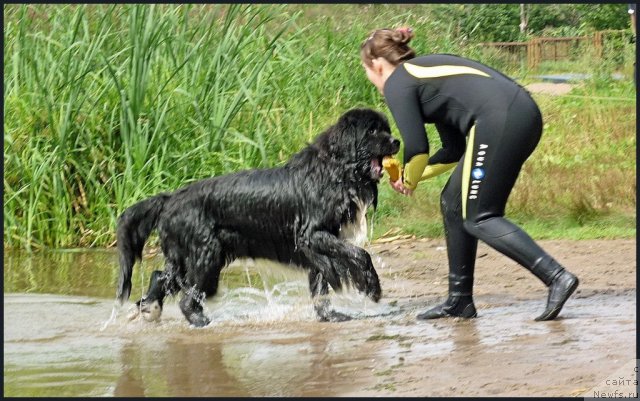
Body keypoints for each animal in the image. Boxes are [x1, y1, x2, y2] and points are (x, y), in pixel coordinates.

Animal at [114, 108, 396, 326]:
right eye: (372, 131)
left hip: (188, 258)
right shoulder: (312, 234)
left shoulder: (317, 247)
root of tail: (170, 198)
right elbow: (359, 254)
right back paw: (203, 322)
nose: (396, 141)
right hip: (205, 257)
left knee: (161, 276)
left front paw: (330, 316)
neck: (333, 171)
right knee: (187, 298)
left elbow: (320, 285)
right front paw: (372, 287)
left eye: (386, 128)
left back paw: (150, 308)